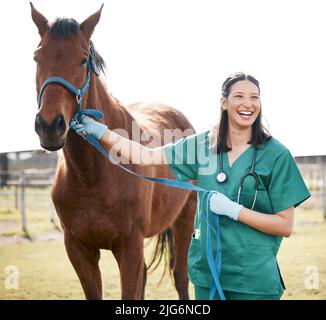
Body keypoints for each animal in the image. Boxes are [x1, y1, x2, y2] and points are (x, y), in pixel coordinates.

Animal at [31, 3, 196, 300]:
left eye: (82, 60)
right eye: (37, 57)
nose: (49, 125)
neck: (92, 175)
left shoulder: (128, 247)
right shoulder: (79, 250)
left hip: (185, 218)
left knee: (180, 275)